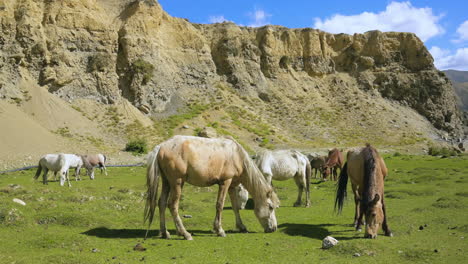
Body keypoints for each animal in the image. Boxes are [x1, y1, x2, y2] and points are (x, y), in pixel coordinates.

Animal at [144, 135, 280, 240]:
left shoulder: (231, 186)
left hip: (167, 182)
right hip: (177, 182)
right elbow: (219, 205)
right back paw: (185, 233)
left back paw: (165, 233)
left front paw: (241, 227)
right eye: (270, 207)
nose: (274, 228)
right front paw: (219, 230)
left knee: (161, 203)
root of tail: (161, 146)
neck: (236, 155)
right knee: (172, 205)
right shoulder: (225, 182)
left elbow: (235, 206)